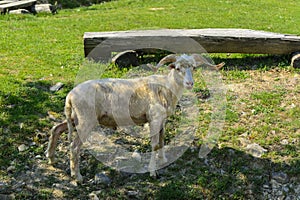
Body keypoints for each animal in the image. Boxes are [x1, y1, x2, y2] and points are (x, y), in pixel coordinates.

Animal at [45, 53, 224, 181]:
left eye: (193, 67)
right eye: (178, 68)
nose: (190, 84)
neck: (166, 87)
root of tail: (70, 96)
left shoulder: (162, 120)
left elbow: (162, 139)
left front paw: (163, 159)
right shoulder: (154, 119)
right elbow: (154, 145)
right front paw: (153, 172)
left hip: (75, 118)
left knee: (56, 129)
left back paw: (51, 158)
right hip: (85, 120)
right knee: (74, 147)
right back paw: (77, 176)